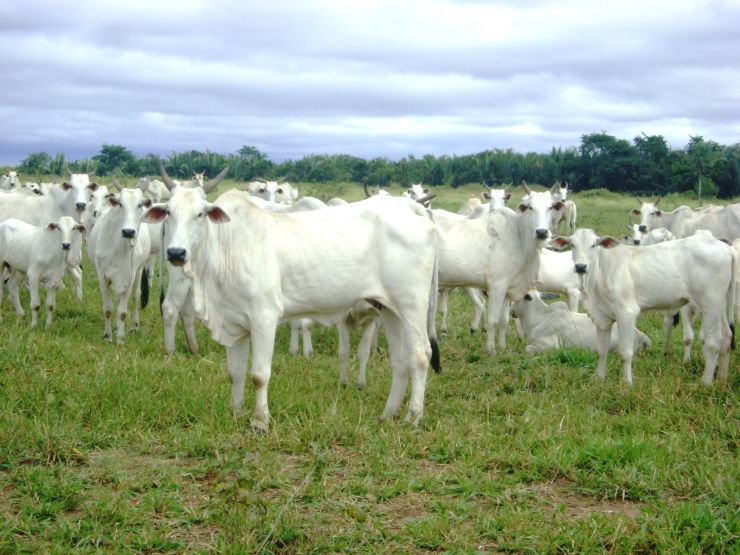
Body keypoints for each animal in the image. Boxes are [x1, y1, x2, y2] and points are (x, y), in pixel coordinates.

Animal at [87, 187, 152, 344]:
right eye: (120, 204)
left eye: (140, 204)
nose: (128, 231)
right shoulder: (102, 276)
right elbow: (108, 309)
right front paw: (108, 336)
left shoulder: (129, 277)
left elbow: (122, 311)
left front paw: (121, 339)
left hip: (139, 270)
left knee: (136, 296)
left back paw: (134, 326)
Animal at [143, 189, 440, 432]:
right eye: (168, 212)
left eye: (200, 214)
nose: (176, 253)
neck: (227, 246)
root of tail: (410, 207)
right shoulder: (234, 323)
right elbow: (234, 373)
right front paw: (236, 412)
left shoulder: (264, 318)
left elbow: (259, 374)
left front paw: (260, 421)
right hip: (389, 309)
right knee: (400, 360)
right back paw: (388, 414)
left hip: (412, 305)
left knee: (420, 355)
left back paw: (413, 417)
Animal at [552, 228, 736, 384]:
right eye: (572, 245)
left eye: (593, 245)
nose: (580, 266)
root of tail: (726, 248)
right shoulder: (603, 317)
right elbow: (601, 351)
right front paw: (599, 379)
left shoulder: (627, 313)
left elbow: (625, 352)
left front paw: (627, 384)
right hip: (720, 306)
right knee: (727, 337)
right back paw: (721, 380)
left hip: (710, 305)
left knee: (713, 342)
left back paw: (705, 383)